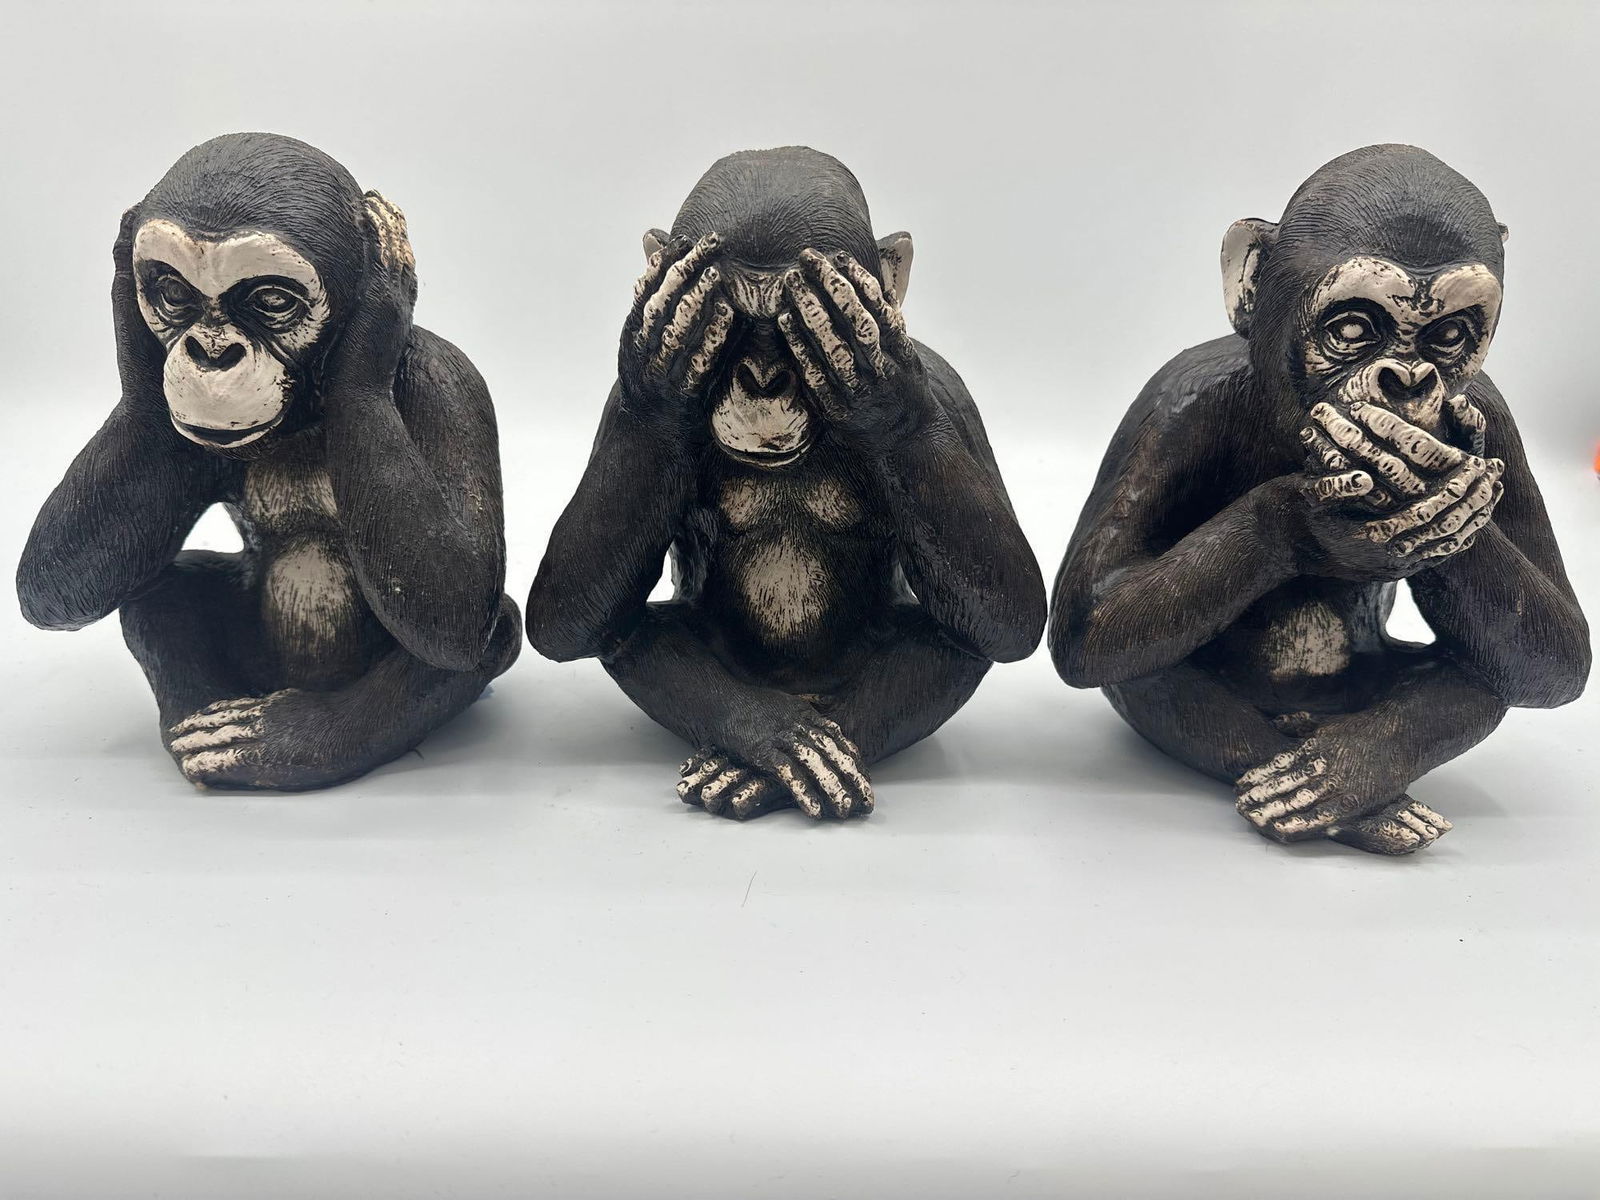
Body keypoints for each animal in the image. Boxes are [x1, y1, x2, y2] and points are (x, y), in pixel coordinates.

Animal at [17, 133, 521, 791]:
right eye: (172, 293)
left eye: (272, 300)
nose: (211, 352)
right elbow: (54, 580)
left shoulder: (447, 382)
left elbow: (454, 603)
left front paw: (385, 285)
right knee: (160, 590)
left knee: (492, 628)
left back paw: (284, 742)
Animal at [528, 147, 1046, 820]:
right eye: (726, 323)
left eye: (793, 323)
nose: (762, 378)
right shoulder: (615, 409)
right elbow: (565, 611)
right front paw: (659, 374)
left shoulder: (951, 394)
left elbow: (1011, 607)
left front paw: (885, 393)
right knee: (625, 628)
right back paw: (768, 737)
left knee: (964, 640)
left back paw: (784, 758)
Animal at [1048, 144, 1590, 854]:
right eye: (1354, 328)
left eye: (1447, 339)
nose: (1408, 380)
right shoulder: (1172, 406)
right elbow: (1093, 616)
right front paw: (1302, 521)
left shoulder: (1498, 418)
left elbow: (1563, 648)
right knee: (1146, 671)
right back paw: (1347, 799)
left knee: (1488, 676)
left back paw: (1349, 778)